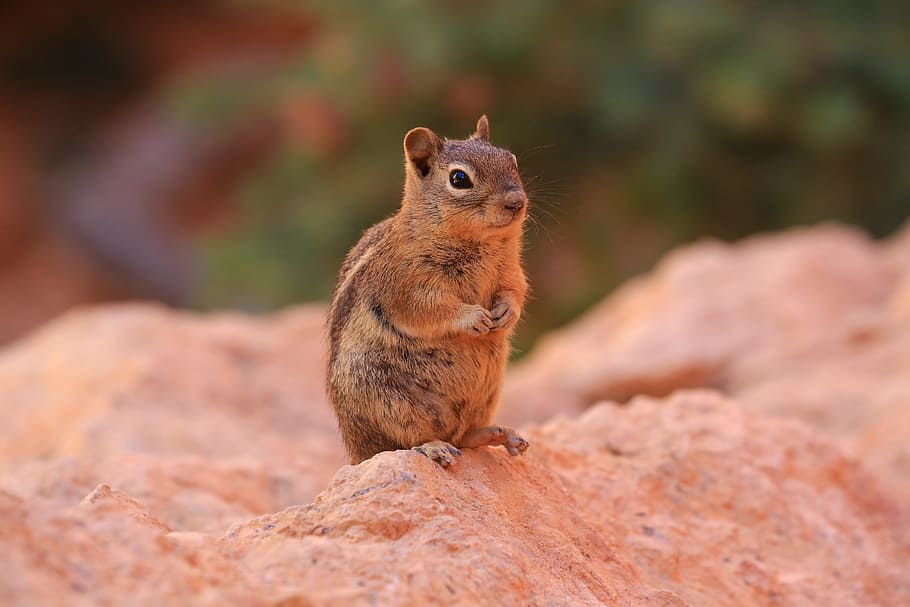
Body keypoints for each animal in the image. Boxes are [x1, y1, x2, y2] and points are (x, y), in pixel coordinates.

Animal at [327, 115, 530, 467]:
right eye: (459, 179)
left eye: (512, 160)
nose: (517, 202)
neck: (481, 244)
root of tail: (357, 453)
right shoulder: (405, 285)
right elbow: (428, 309)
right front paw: (473, 317)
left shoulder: (511, 271)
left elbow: (515, 290)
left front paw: (505, 312)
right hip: (391, 401)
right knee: (407, 442)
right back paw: (435, 447)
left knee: (464, 437)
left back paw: (500, 434)